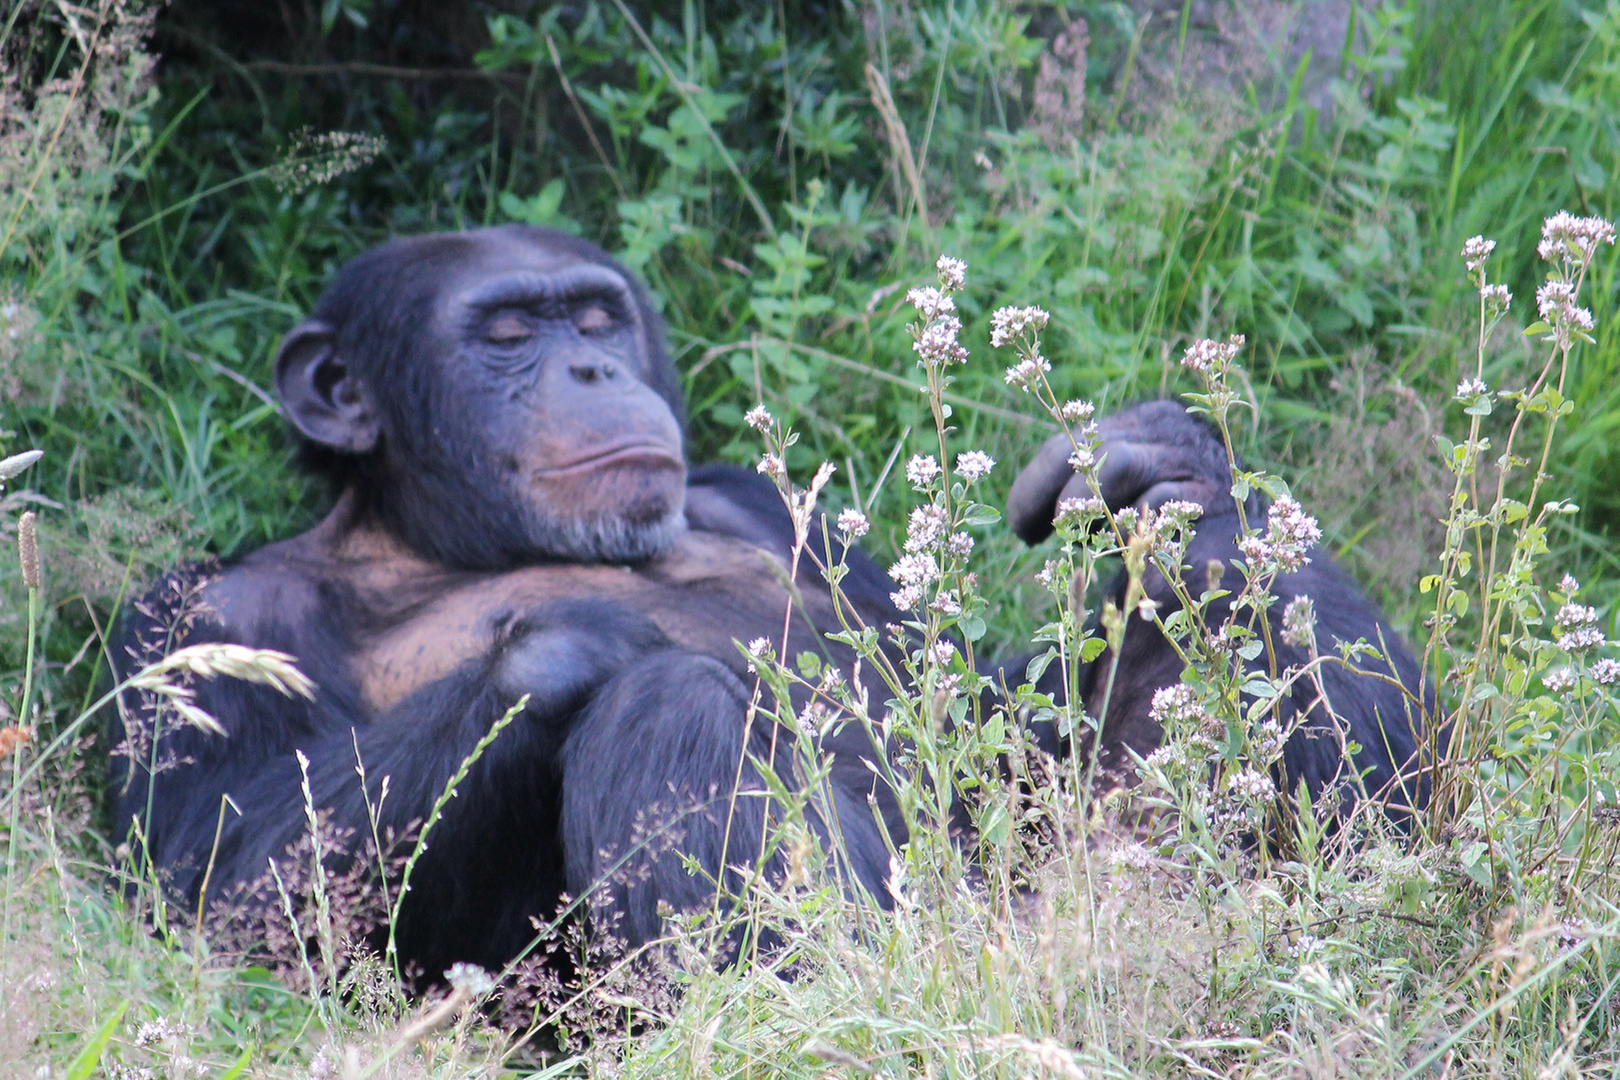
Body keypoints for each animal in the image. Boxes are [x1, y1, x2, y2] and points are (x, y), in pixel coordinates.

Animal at [110, 223, 1432, 977]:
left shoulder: (750, 502)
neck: (444, 538)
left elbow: (976, 714)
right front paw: (576, 633)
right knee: (673, 703)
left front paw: (1158, 458)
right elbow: (218, 887)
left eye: (595, 314)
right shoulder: (200, 621)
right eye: (506, 330)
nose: (589, 366)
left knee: (1230, 603)